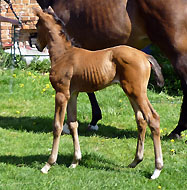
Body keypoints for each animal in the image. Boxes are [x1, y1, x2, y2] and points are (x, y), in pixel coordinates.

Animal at [35, 7, 164, 180]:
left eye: (37, 26)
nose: (36, 45)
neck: (63, 54)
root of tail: (145, 55)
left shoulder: (61, 94)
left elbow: (57, 126)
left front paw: (48, 164)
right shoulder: (73, 94)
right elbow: (73, 123)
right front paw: (75, 161)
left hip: (137, 92)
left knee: (153, 119)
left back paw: (157, 169)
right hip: (132, 92)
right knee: (141, 120)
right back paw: (135, 161)